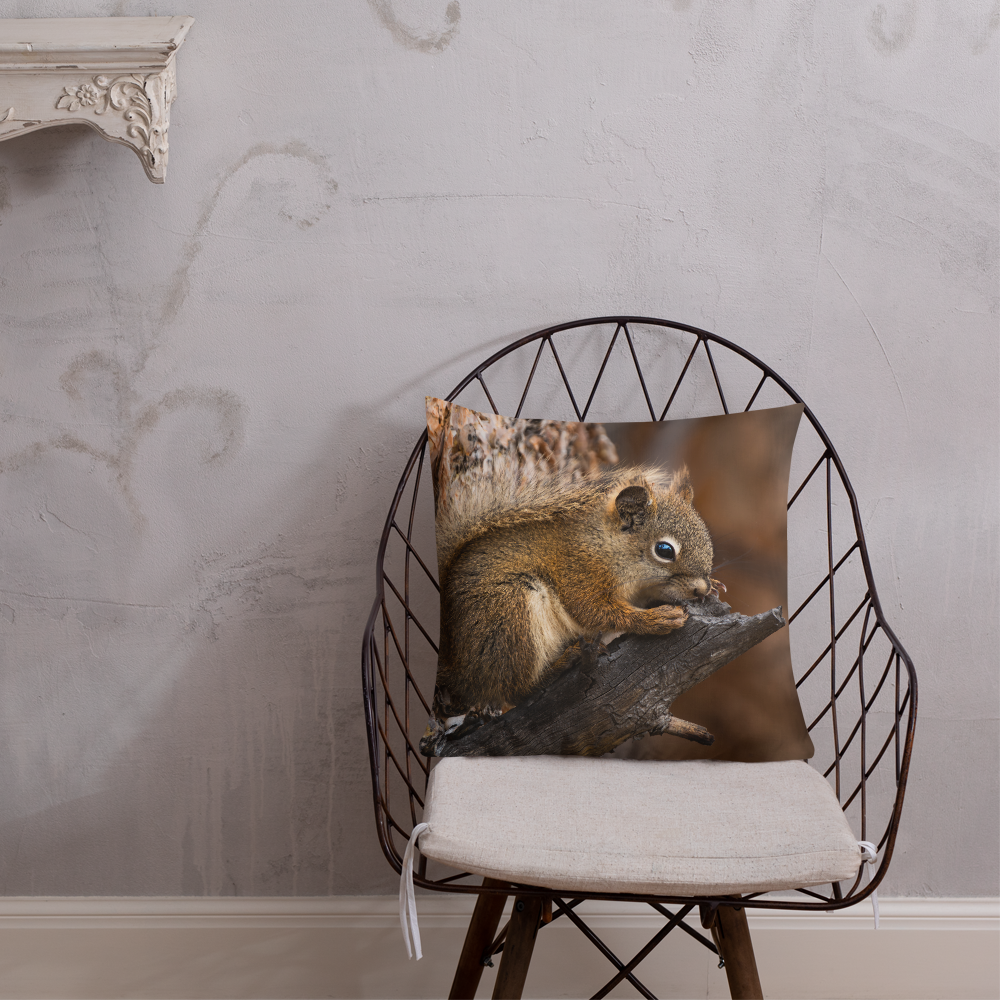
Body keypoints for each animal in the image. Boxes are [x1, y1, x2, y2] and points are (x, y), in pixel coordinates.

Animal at [434, 463, 718, 720]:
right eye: (664, 550)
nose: (701, 588)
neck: (606, 545)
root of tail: (460, 671)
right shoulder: (579, 571)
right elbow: (592, 611)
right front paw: (657, 619)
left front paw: (714, 586)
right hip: (511, 613)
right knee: (515, 689)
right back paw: (560, 665)